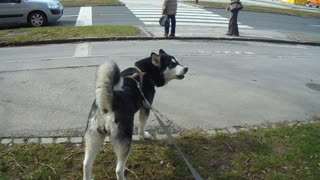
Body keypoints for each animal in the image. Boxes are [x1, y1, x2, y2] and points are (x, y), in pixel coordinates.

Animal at [83, 49, 188, 180]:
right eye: (172, 64)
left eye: (177, 62)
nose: (186, 68)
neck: (146, 72)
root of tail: (108, 103)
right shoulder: (146, 107)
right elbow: (142, 125)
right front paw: (143, 135)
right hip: (125, 142)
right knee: (118, 169)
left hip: (94, 137)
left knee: (86, 164)